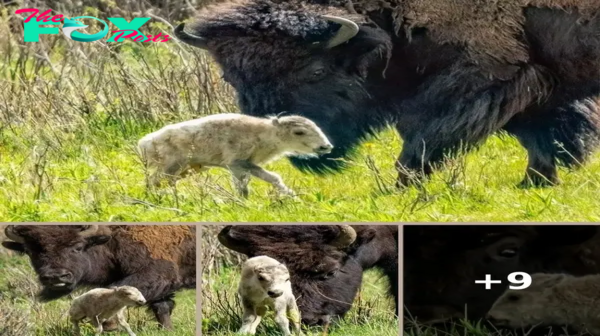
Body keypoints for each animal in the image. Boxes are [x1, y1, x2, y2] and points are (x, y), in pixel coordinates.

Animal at [1, 224, 196, 330]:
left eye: (78, 247)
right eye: (30, 251)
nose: (56, 277)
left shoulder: (157, 274)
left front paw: (109, 323)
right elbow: (162, 306)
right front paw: (167, 329)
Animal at [138, 113, 332, 197]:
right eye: (299, 132)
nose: (325, 146)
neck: (263, 134)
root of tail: (144, 144)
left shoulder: (245, 165)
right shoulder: (237, 163)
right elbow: (252, 184)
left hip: (185, 170)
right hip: (171, 167)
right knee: (153, 181)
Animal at [173, 0, 600, 188]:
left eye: (315, 71)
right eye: (231, 78)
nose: (307, 151)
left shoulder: (485, 76)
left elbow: (422, 135)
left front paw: (402, 185)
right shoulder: (535, 81)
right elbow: (545, 133)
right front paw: (537, 182)